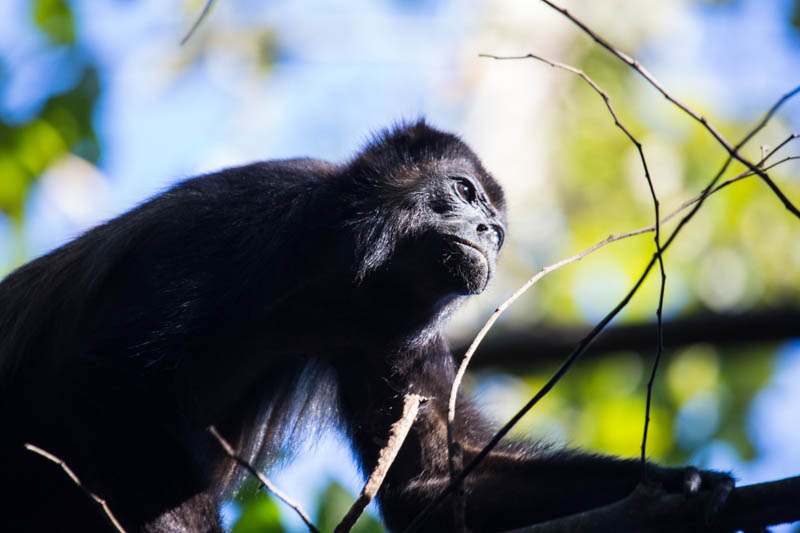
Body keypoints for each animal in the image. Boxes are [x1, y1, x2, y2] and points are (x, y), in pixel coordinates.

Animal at [0, 121, 732, 532]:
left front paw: (679, 485)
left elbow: (432, 485)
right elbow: (110, 377)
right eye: (464, 191)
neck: (330, 276)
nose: (487, 232)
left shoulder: (392, 334)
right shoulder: (242, 216)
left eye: (496, 228)